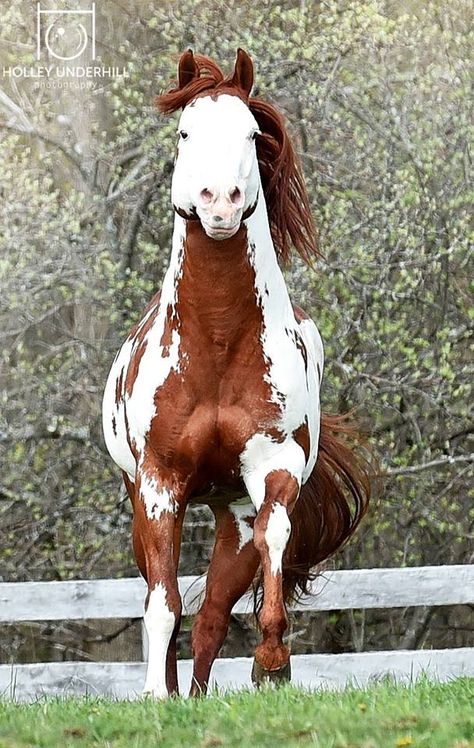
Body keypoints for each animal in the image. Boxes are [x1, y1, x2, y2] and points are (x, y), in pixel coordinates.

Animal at [103, 49, 370, 700]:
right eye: (184, 132)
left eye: (251, 134)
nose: (220, 202)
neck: (220, 343)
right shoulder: (159, 485)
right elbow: (162, 602)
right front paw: (155, 695)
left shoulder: (273, 470)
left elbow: (273, 542)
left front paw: (273, 662)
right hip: (146, 505)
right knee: (167, 598)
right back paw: (171, 691)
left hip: (231, 515)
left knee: (214, 615)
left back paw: (198, 694)